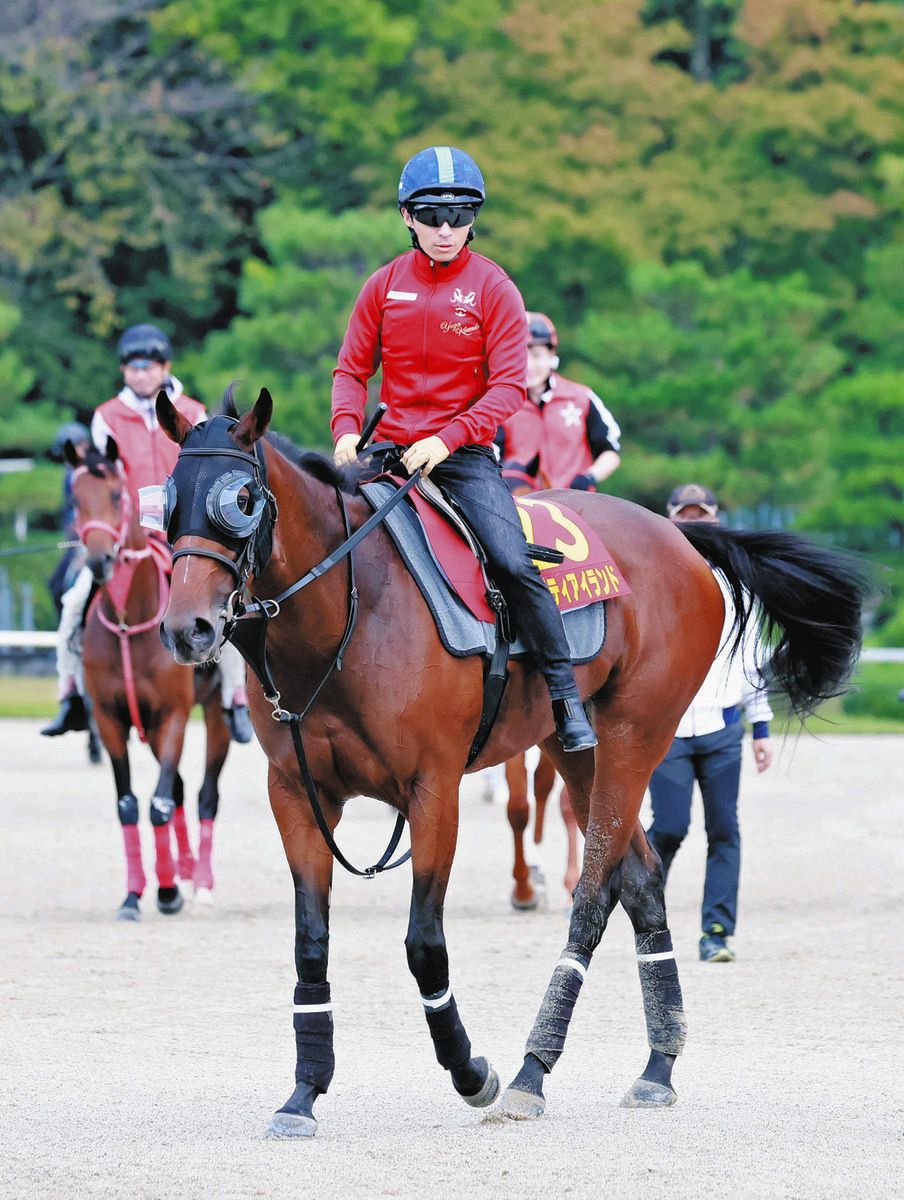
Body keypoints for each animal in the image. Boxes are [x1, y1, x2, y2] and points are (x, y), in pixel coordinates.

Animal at [65, 438, 232, 920]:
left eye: (117, 494)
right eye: (75, 499)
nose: (99, 560)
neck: (127, 624)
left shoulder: (173, 715)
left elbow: (159, 804)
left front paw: (168, 891)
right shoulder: (109, 720)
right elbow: (129, 804)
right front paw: (135, 894)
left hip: (215, 716)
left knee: (204, 794)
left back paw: (201, 881)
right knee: (177, 790)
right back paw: (185, 867)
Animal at [154, 388, 867, 1134]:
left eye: (240, 499)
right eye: (167, 498)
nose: (187, 628)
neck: (353, 608)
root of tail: (676, 537)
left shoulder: (433, 790)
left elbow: (424, 942)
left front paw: (471, 1071)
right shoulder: (296, 793)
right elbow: (310, 940)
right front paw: (304, 1090)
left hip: (634, 739)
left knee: (594, 897)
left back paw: (532, 1070)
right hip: (577, 752)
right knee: (642, 881)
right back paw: (657, 1065)